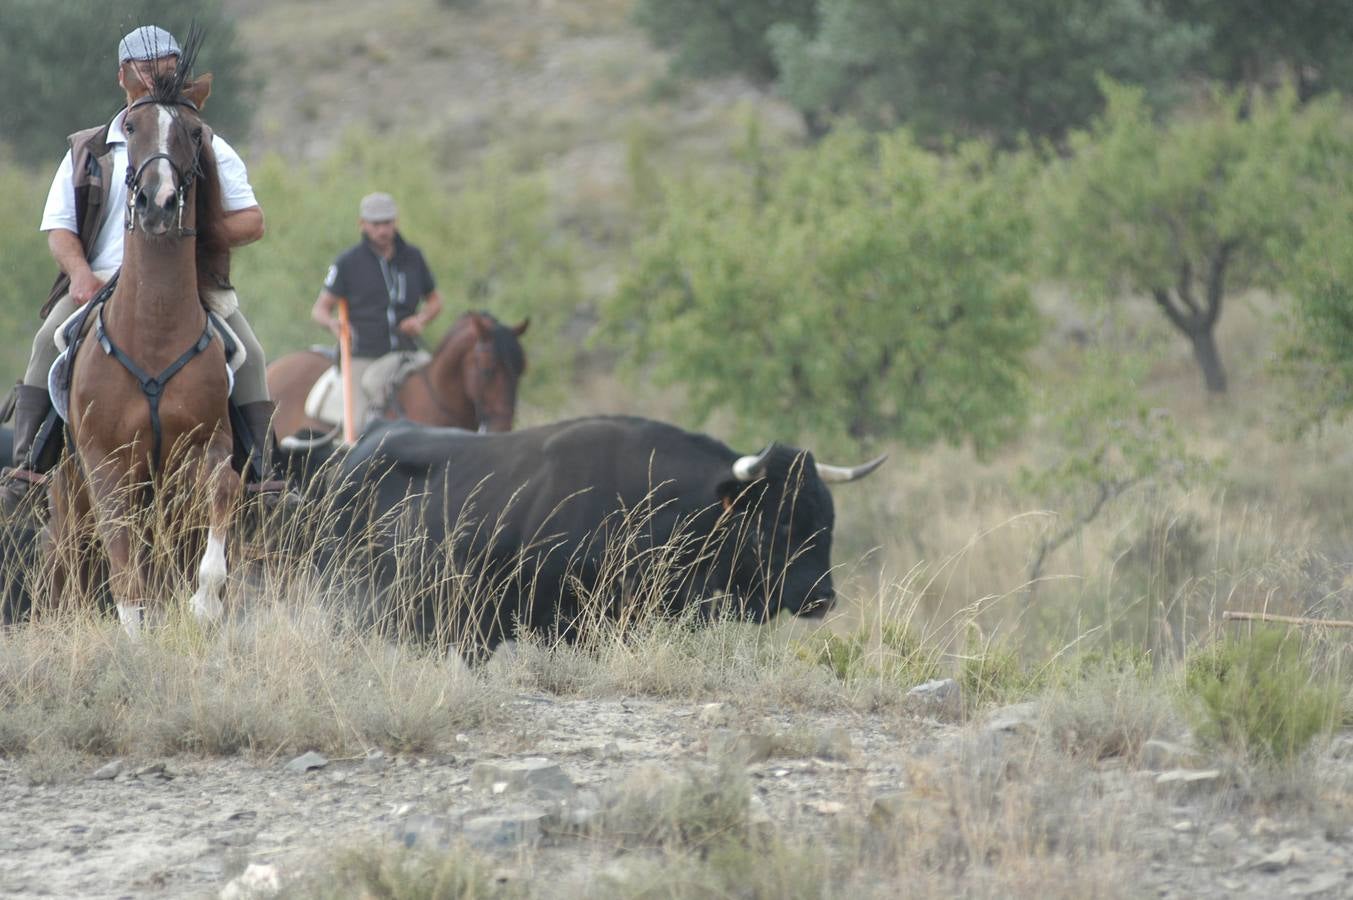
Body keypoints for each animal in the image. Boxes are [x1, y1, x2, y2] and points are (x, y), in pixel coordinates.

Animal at [48, 59, 235, 636]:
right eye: (130, 128)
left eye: (195, 133)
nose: (158, 202)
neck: (153, 329)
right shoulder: (106, 463)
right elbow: (124, 571)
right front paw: (134, 636)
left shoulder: (204, 446)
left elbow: (225, 490)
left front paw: (205, 602)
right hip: (70, 494)